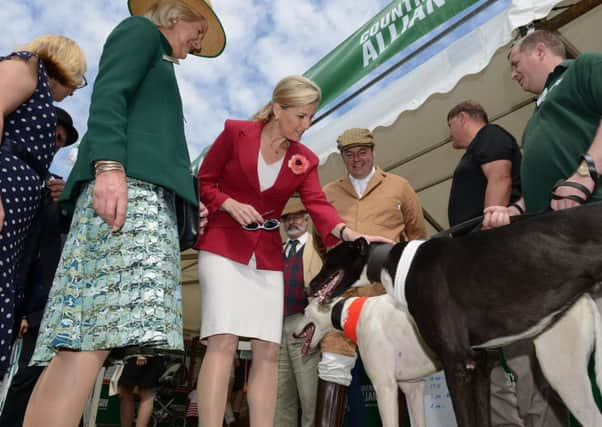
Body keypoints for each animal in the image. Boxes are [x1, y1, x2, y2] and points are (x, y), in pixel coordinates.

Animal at [308, 205, 600, 427]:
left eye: (328, 259)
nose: (309, 286)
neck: (393, 263)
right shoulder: (480, 365)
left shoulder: (456, 363)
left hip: (562, 370)